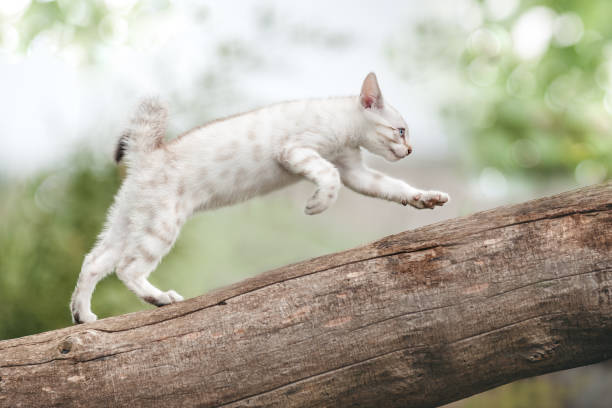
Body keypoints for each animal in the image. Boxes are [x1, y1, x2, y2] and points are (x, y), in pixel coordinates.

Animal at [69, 71, 450, 324]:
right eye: (401, 131)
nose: (411, 150)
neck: (345, 126)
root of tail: (148, 154)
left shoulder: (354, 171)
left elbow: (394, 187)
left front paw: (427, 198)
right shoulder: (297, 151)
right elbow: (328, 179)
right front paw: (315, 205)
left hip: (128, 223)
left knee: (93, 262)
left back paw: (83, 316)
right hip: (160, 226)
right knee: (127, 267)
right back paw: (161, 299)